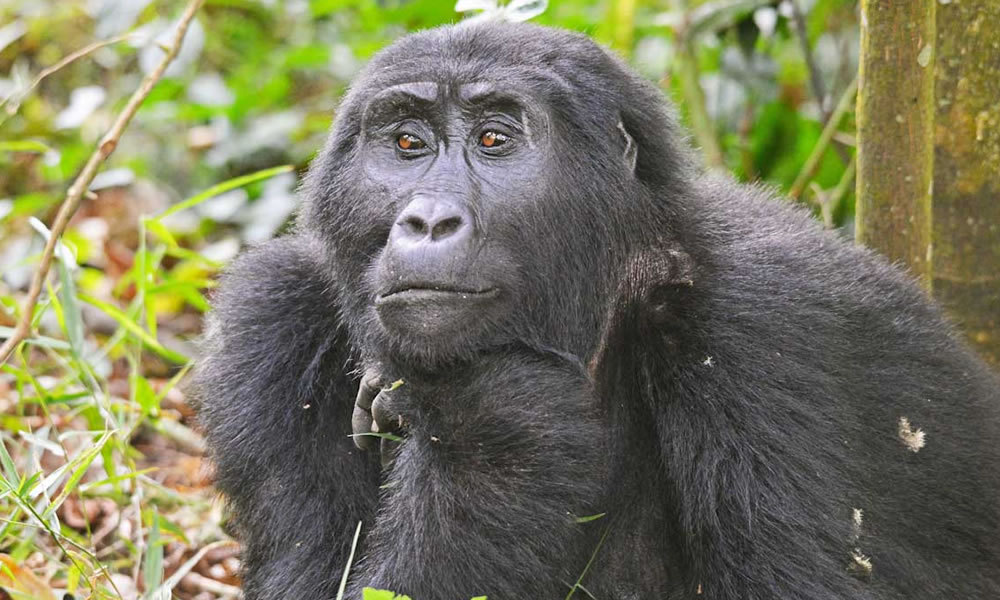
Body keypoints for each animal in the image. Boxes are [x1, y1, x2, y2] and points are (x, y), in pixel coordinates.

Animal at [191, 21, 996, 600]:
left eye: (494, 139)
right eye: (407, 143)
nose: (427, 221)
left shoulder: (775, 321)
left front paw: (489, 424)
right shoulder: (269, 317)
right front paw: (497, 434)